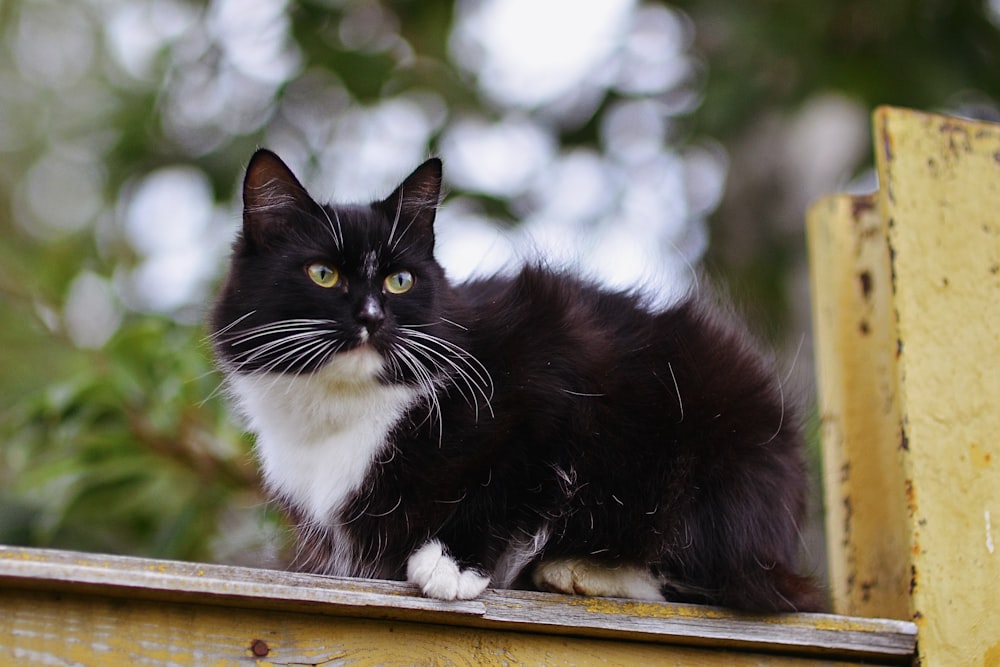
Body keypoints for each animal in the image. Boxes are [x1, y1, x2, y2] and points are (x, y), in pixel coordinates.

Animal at [207, 149, 824, 612]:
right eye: (323, 273)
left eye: (400, 280)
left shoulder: (552, 370)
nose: (372, 316)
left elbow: (511, 472)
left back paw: (579, 570)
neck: (350, 403)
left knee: (743, 587)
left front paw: (451, 564)